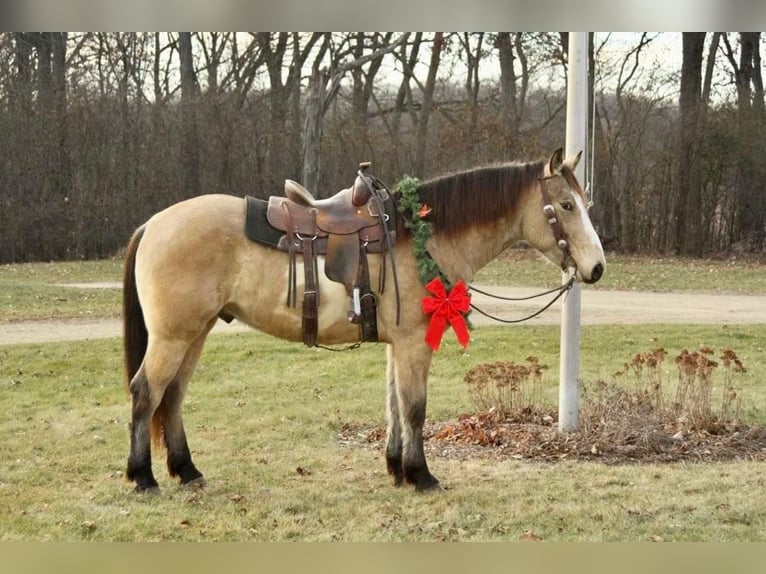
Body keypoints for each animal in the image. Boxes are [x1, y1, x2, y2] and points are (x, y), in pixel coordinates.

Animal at [121, 150, 608, 496]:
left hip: (195, 334)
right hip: (173, 336)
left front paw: (397, 469)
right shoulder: (414, 343)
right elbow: (414, 408)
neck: (422, 236)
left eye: (585, 202)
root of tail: (153, 224)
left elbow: (393, 406)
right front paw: (421, 475)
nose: (597, 267)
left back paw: (186, 470)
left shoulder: (398, 344)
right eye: (566, 205)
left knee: (173, 396)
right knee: (147, 392)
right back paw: (143, 476)